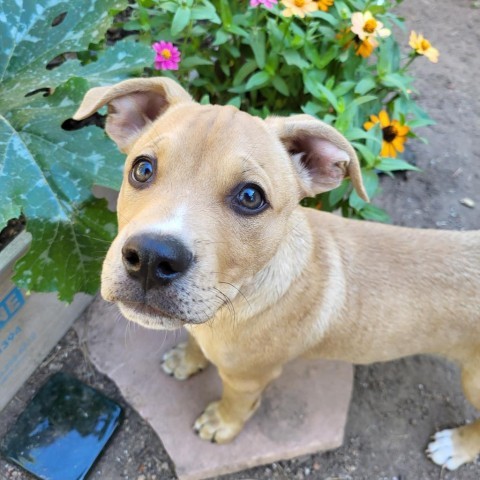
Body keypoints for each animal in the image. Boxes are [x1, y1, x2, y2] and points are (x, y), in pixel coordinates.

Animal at [75, 78, 480, 468]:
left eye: (250, 196)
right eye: (142, 169)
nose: (149, 258)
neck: (237, 297)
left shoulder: (248, 378)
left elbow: (236, 404)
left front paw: (221, 424)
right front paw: (187, 359)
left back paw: (456, 447)